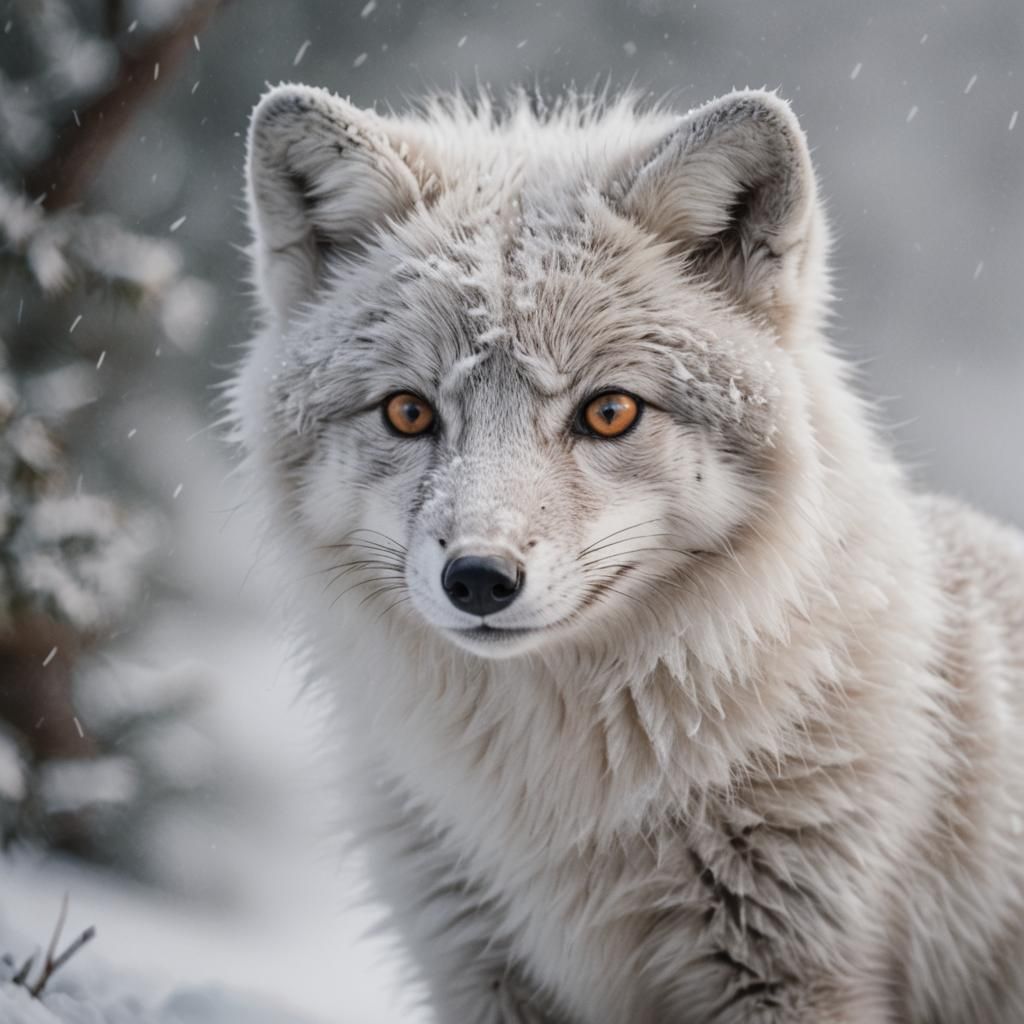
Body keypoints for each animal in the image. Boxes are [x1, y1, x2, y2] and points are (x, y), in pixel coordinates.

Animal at [234, 82, 1024, 1023]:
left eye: (609, 412)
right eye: (408, 412)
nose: (479, 578)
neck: (563, 799)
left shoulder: (794, 975)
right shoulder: (482, 975)